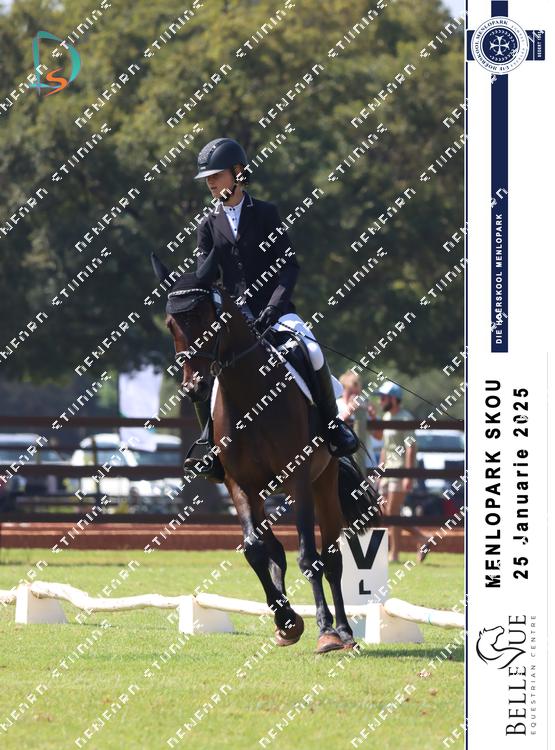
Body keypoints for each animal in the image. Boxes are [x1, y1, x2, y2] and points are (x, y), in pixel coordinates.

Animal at [151, 257, 381, 653]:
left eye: (207, 317)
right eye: (170, 322)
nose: (195, 387)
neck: (251, 396)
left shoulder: (299, 478)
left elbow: (310, 557)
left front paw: (325, 631)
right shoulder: (237, 484)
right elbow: (255, 550)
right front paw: (287, 621)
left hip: (323, 483)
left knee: (332, 557)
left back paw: (344, 632)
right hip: (263, 492)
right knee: (274, 549)